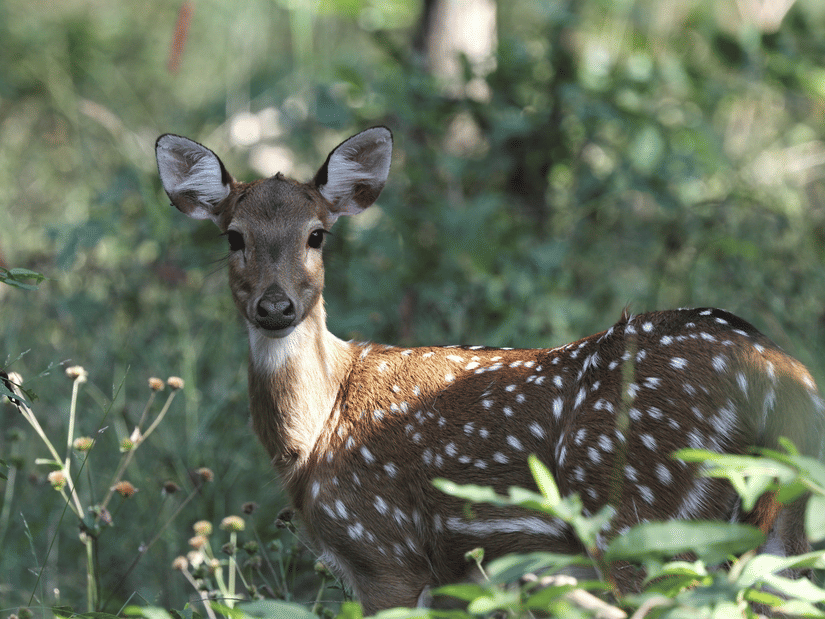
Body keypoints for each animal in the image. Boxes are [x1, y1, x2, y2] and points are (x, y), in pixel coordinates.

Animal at [156, 126, 824, 613]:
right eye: (234, 236)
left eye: (317, 235)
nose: (275, 307)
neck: (315, 434)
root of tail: (778, 373)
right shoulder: (453, 572)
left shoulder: (384, 550)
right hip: (777, 529)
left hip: (644, 521)